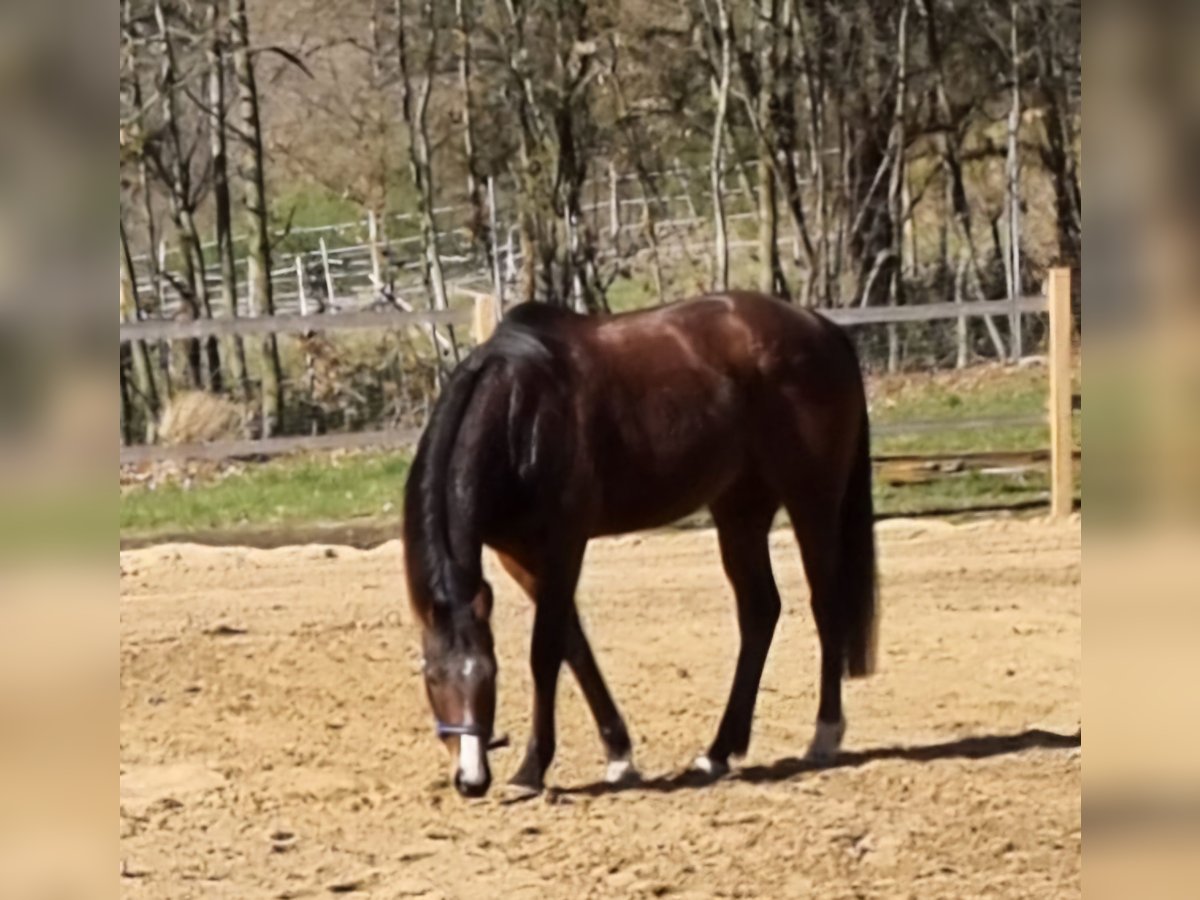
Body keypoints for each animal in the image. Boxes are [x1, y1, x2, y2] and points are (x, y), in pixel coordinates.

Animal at [403, 289, 883, 796]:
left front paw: (531, 768)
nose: (471, 779)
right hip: (741, 508)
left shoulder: (563, 545)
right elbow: (574, 644)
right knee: (759, 611)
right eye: (432, 677)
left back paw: (824, 735)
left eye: (491, 674)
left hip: (812, 501)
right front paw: (618, 753)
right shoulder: (519, 555)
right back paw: (718, 752)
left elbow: (545, 651)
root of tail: (821, 328)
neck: (520, 413)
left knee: (825, 606)